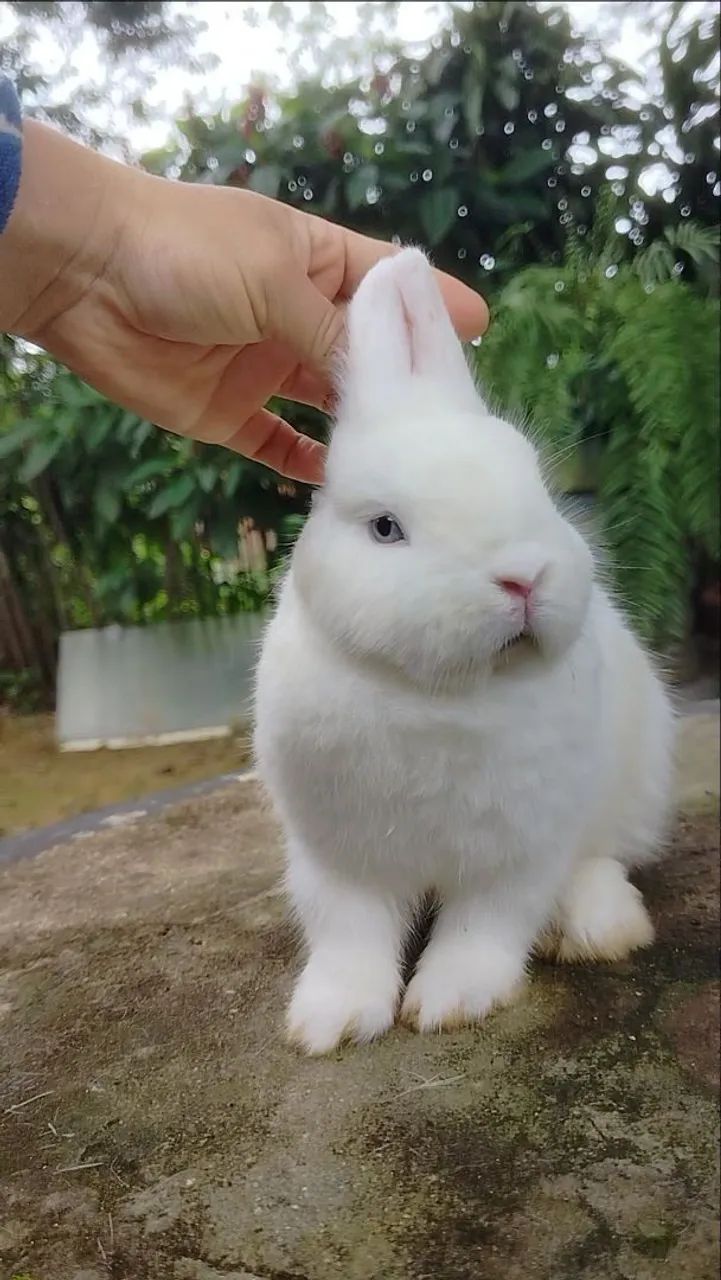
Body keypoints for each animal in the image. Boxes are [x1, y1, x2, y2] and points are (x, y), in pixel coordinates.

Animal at [253, 247, 675, 1056]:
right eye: (385, 528)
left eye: (534, 483)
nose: (524, 577)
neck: (441, 697)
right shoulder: (337, 856)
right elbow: (350, 934)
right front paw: (330, 1022)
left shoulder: (518, 850)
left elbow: (485, 929)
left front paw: (450, 1001)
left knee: (600, 857)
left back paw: (600, 926)